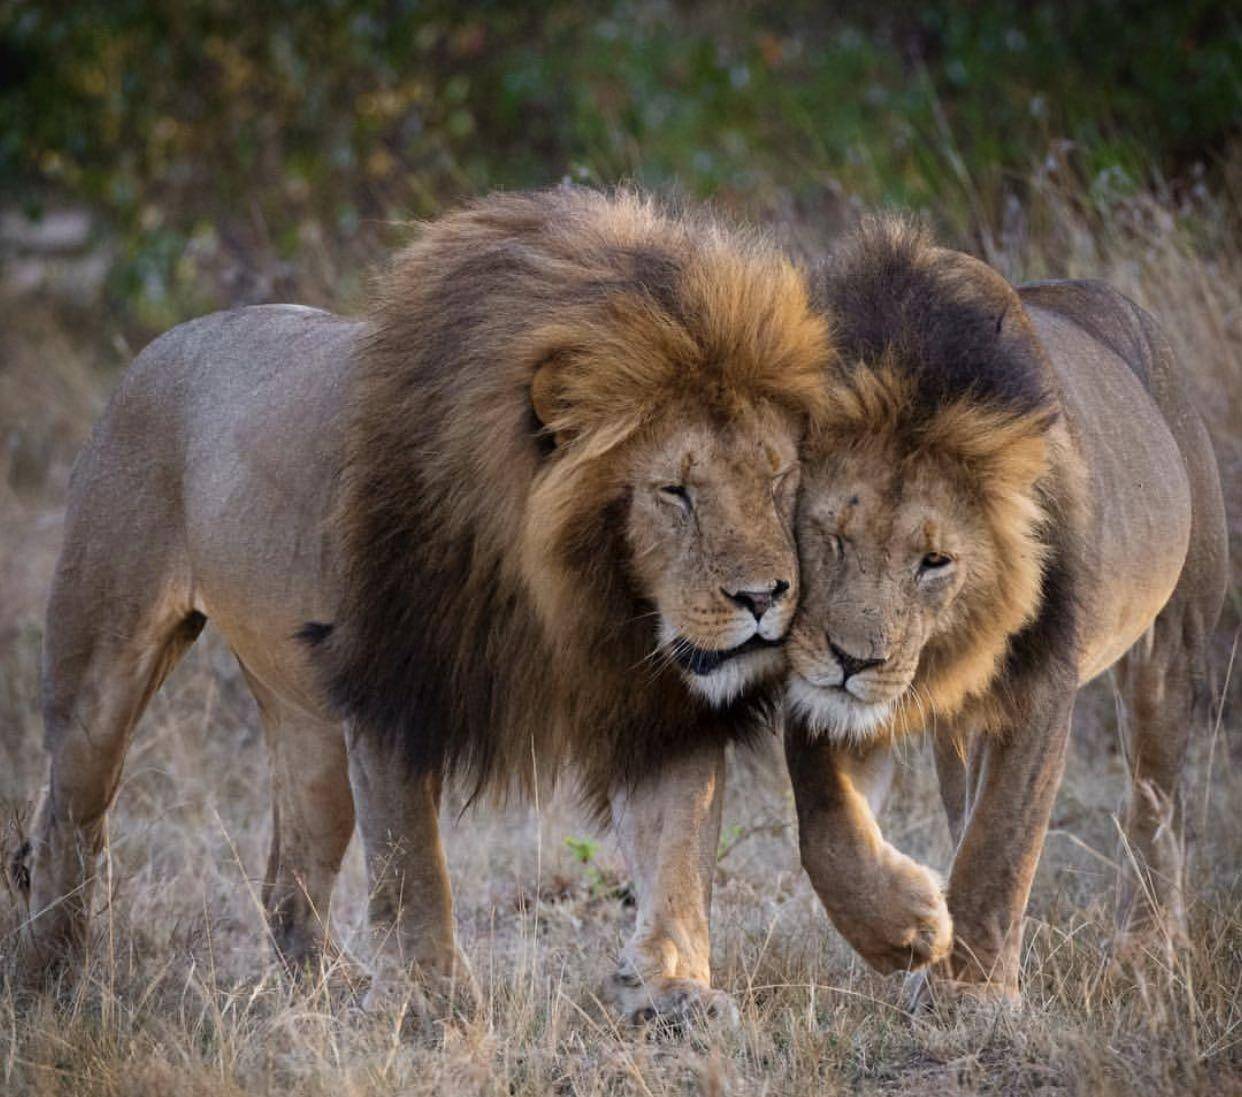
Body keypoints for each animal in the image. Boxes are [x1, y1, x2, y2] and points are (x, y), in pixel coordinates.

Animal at [9, 191, 834, 1028]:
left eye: (777, 478)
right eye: (675, 492)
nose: (764, 596)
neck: (580, 600)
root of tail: (161, 345)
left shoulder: (659, 705)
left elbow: (676, 851)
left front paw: (672, 989)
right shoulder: (394, 684)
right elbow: (413, 865)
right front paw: (430, 1001)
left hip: (308, 730)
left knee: (287, 884)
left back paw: (332, 996)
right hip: (99, 669)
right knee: (65, 826)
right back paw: (51, 987)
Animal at [779, 218, 1227, 1008]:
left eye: (935, 561)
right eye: (832, 534)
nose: (853, 661)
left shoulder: (1039, 683)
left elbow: (999, 844)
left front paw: (976, 993)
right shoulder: (819, 679)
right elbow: (827, 824)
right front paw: (905, 928)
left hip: (1171, 647)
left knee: (1156, 802)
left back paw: (1148, 949)